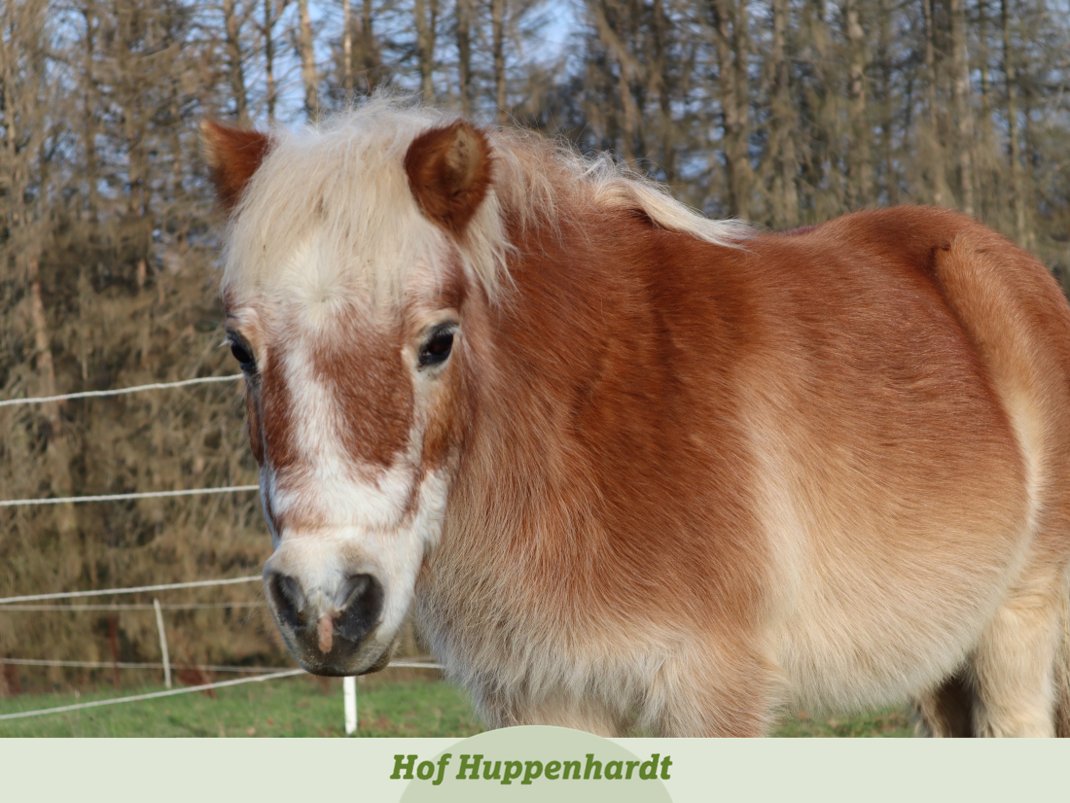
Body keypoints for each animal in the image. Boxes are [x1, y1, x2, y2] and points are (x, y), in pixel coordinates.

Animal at [202, 99, 1070, 737]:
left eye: (439, 340)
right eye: (241, 348)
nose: (326, 605)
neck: (582, 421)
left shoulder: (709, 692)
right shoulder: (544, 699)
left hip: (1013, 638)